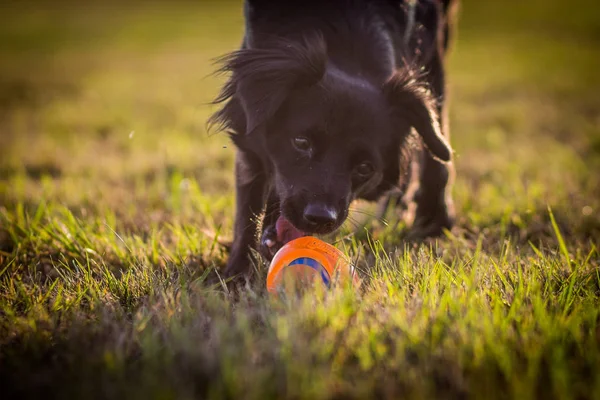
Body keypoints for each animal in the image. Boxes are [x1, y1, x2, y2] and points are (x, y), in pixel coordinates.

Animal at [209, 0, 458, 278]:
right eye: (301, 142)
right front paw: (237, 271)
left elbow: (438, 147)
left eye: (365, 167)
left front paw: (435, 220)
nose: (320, 218)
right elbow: (248, 198)